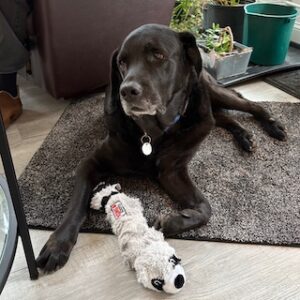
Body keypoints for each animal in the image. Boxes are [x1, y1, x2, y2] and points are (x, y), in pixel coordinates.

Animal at [37, 24, 286, 272]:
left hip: (208, 90)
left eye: (158, 55)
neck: (152, 132)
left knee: (247, 105)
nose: (126, 91)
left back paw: (272, 125)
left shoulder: (172, 170)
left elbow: (206, 209)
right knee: (222, 117)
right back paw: (244, 136)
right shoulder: (92, 162)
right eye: (122, 62)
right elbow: (76, 204)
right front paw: (57, 244)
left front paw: (169, 222)